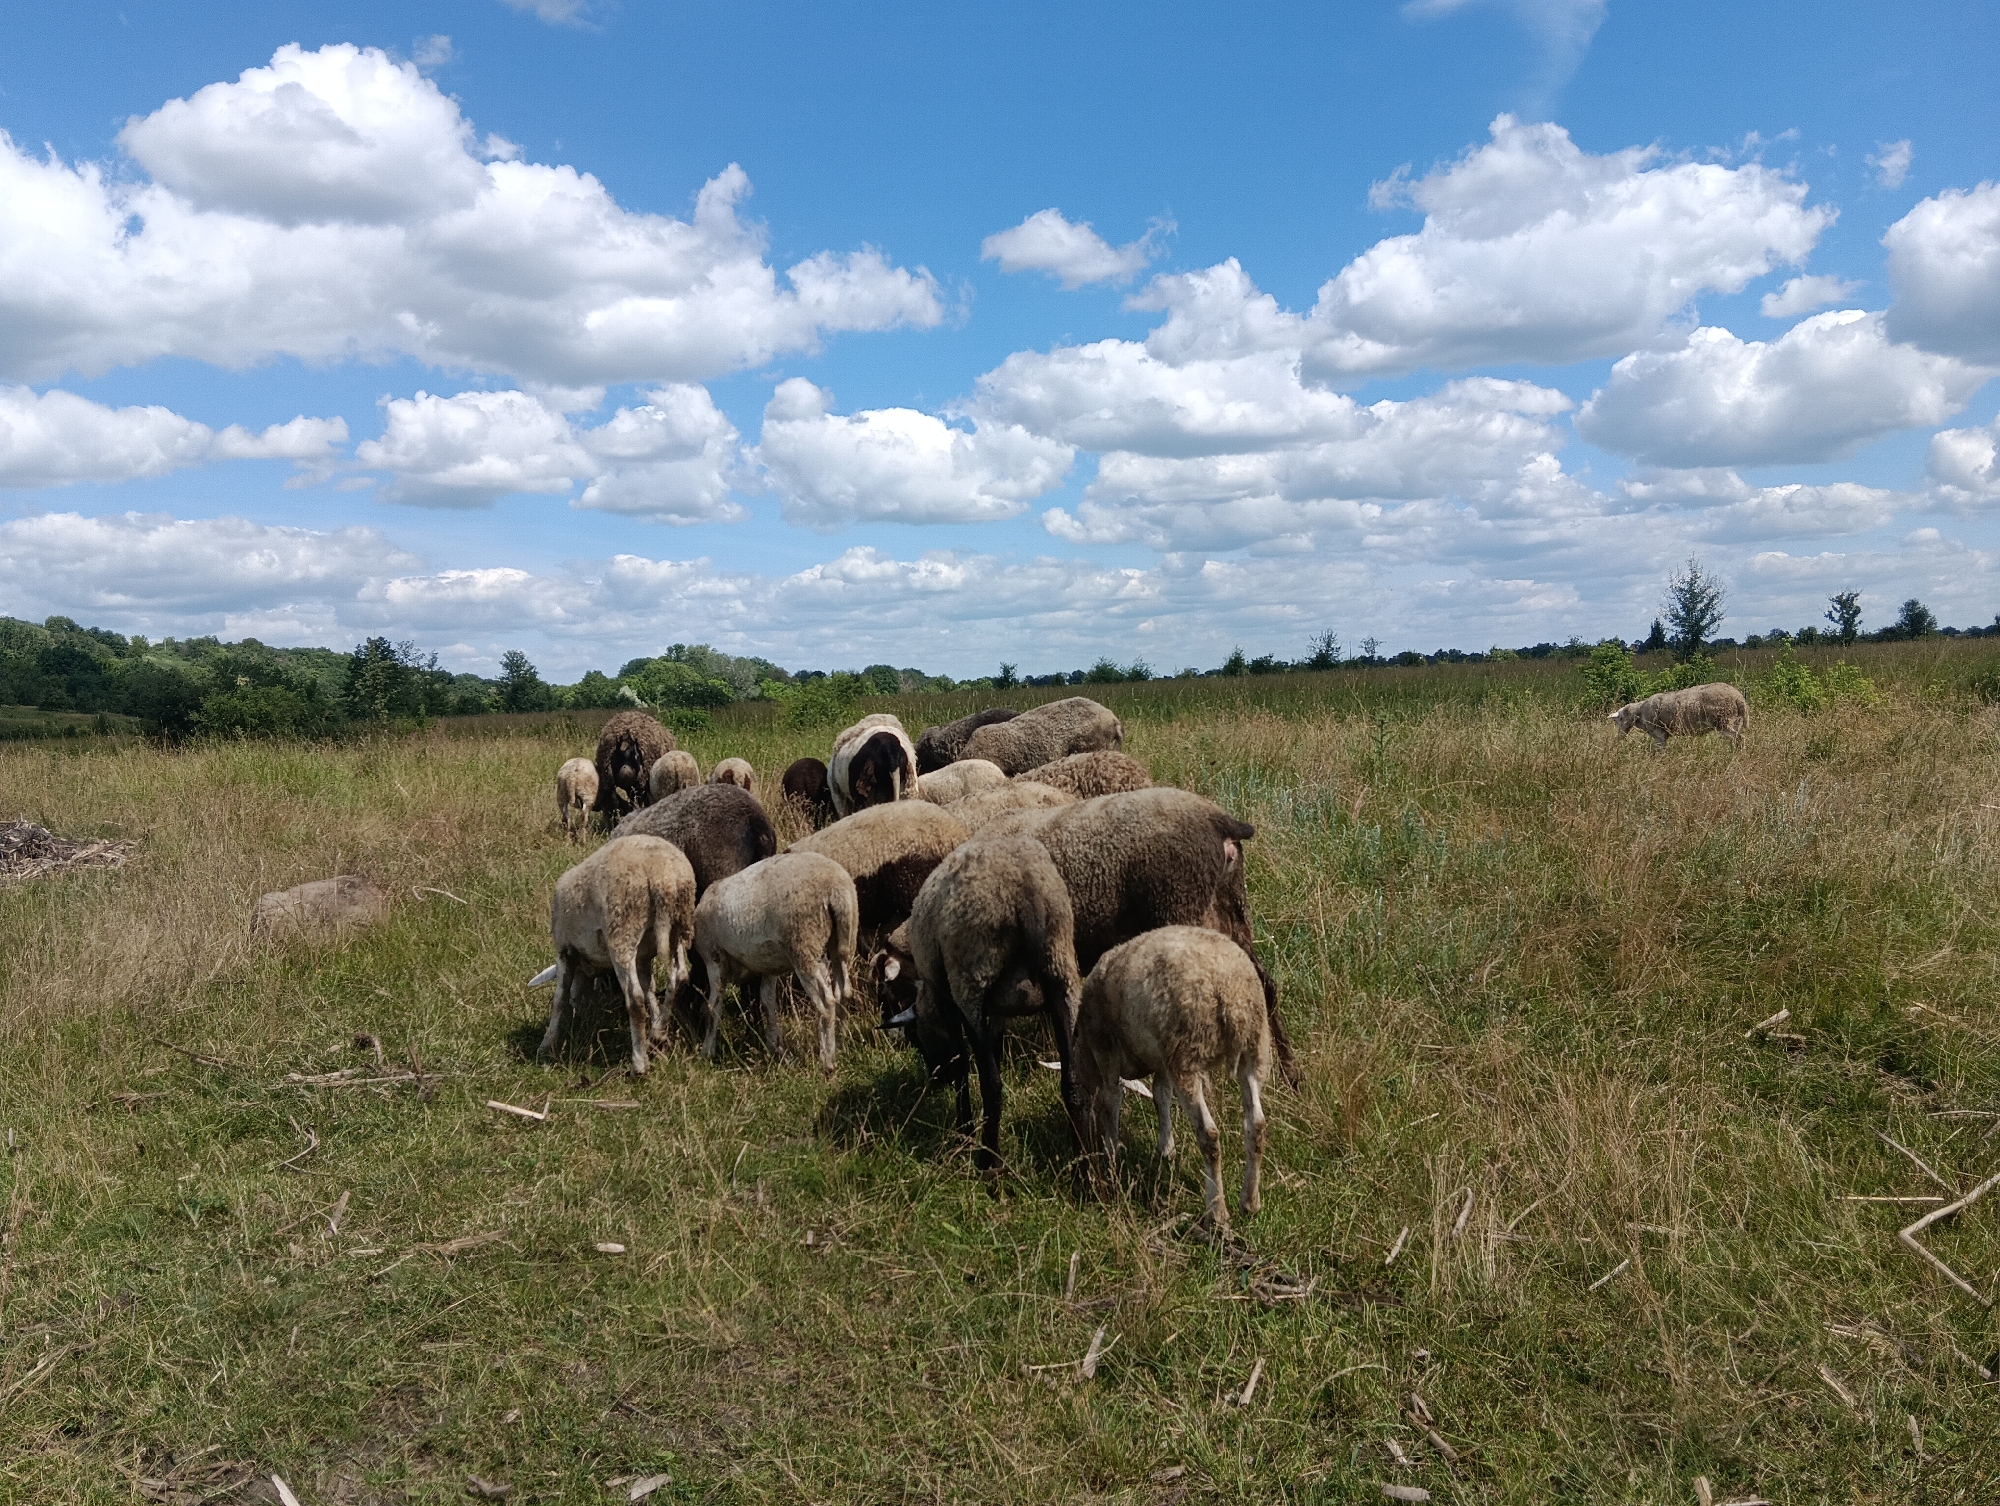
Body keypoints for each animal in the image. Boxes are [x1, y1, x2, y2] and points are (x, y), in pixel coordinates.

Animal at [534, 835, 696, 1075]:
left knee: (634, 999)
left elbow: (559, 998)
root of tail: (662, 875)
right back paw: (658, 1035)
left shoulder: (565, 950)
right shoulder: (643, 958)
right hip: (679, 925)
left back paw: (638, 1063)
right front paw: (655, 1028)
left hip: (622, 929)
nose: (578, 1006)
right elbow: (649, 989)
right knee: (679, 976)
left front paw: (547, 1042)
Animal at [694, 851, 858, 1070]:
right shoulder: (769, 967)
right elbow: (767, 1001)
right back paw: (841, 1043)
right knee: (844, 991)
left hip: (802, 942)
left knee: (826, 1002)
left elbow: (714, 1006)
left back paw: (827, 1061)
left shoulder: (714, 958)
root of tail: (837, 889)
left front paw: (706, 1052)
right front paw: (776, 1048)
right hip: (841, 941)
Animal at [885, 835, 1085, 1172]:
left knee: (992, 1086)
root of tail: (1026, 889)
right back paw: (1082, 1164)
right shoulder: (998, 1012)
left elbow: (962, 1062)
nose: (936, 1079)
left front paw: (964, 1129)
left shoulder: (949, 1002)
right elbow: (995, 1048)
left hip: (972, 978)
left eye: (915, 1038)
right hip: (1063, 975)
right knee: (1071, 1081)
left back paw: (988, 1161)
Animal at [1074, 926, 1271, 1228]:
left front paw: (1111, 1150)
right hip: (1252, 1046)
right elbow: (1160, 1096)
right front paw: (1166, 1148)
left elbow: (1112, 1100)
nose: (1083, 1138)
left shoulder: (1105, 1049)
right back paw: (1250, 1201)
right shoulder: (1163, 1060)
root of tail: (1227, 990)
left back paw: (1216, 1210)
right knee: (1256, 1125)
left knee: (1209, 1134)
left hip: (1187, 1052)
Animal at [1610, 682, 1750, 750]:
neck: (1638, 713)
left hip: (1723, 721)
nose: (1619, 737)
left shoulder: (1659, 734)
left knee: (1740, 738)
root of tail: (1738, 698)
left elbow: (1658, 751)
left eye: (1617, 720)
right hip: (1735, 720)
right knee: (1736, 738)